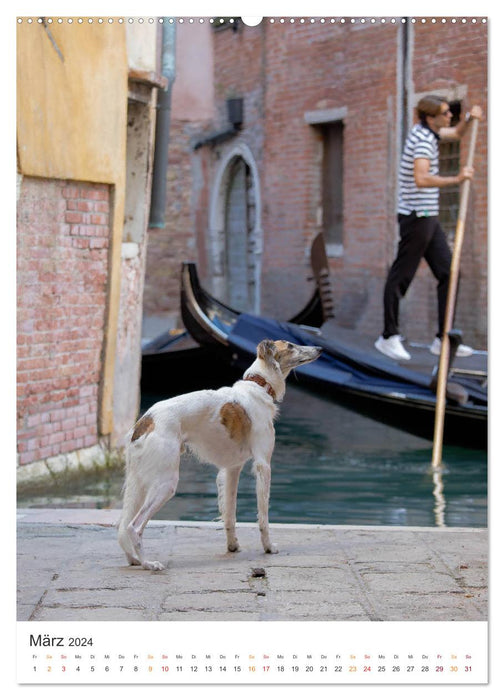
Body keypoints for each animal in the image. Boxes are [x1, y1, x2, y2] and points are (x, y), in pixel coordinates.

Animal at [118, 340, 320, 568]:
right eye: (291, 346)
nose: (320, 349)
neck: (259, 386)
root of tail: (145, 421)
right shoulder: (263, 465)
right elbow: (263, 516)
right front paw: (269, 547)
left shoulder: (232, 468)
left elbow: (230, 512)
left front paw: (232, 546)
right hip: (165, 483)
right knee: (134, 527)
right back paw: (148, 564)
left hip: (138, 483)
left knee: (122, 527)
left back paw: (134, 559)